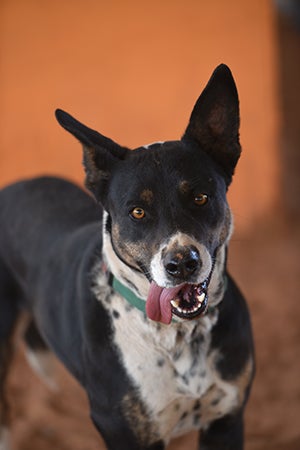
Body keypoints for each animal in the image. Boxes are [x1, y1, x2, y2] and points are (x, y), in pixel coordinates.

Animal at [0, 64, 253, 450]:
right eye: (137, 212)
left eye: (200, 197)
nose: (182, 264)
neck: (179, 334)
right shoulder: (123, 431)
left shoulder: (227, 419)